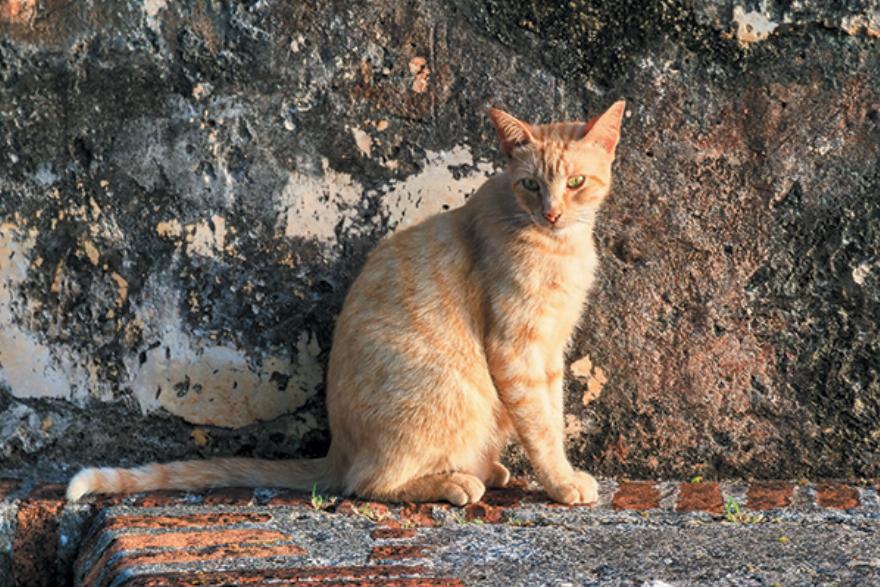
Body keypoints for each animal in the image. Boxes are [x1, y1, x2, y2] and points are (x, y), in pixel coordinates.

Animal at [66, 100, 626, 506]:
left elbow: (552, 415)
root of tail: (335, 449)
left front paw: (561, 471)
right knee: (367, 483)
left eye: (575, 182)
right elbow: (540, 426)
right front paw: (561, 481)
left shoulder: (549, 353)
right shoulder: (516, 350)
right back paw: (454, 482)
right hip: (446, 393)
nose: (551, 212)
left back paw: (485, 467)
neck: (558, 247)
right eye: (531, 184)